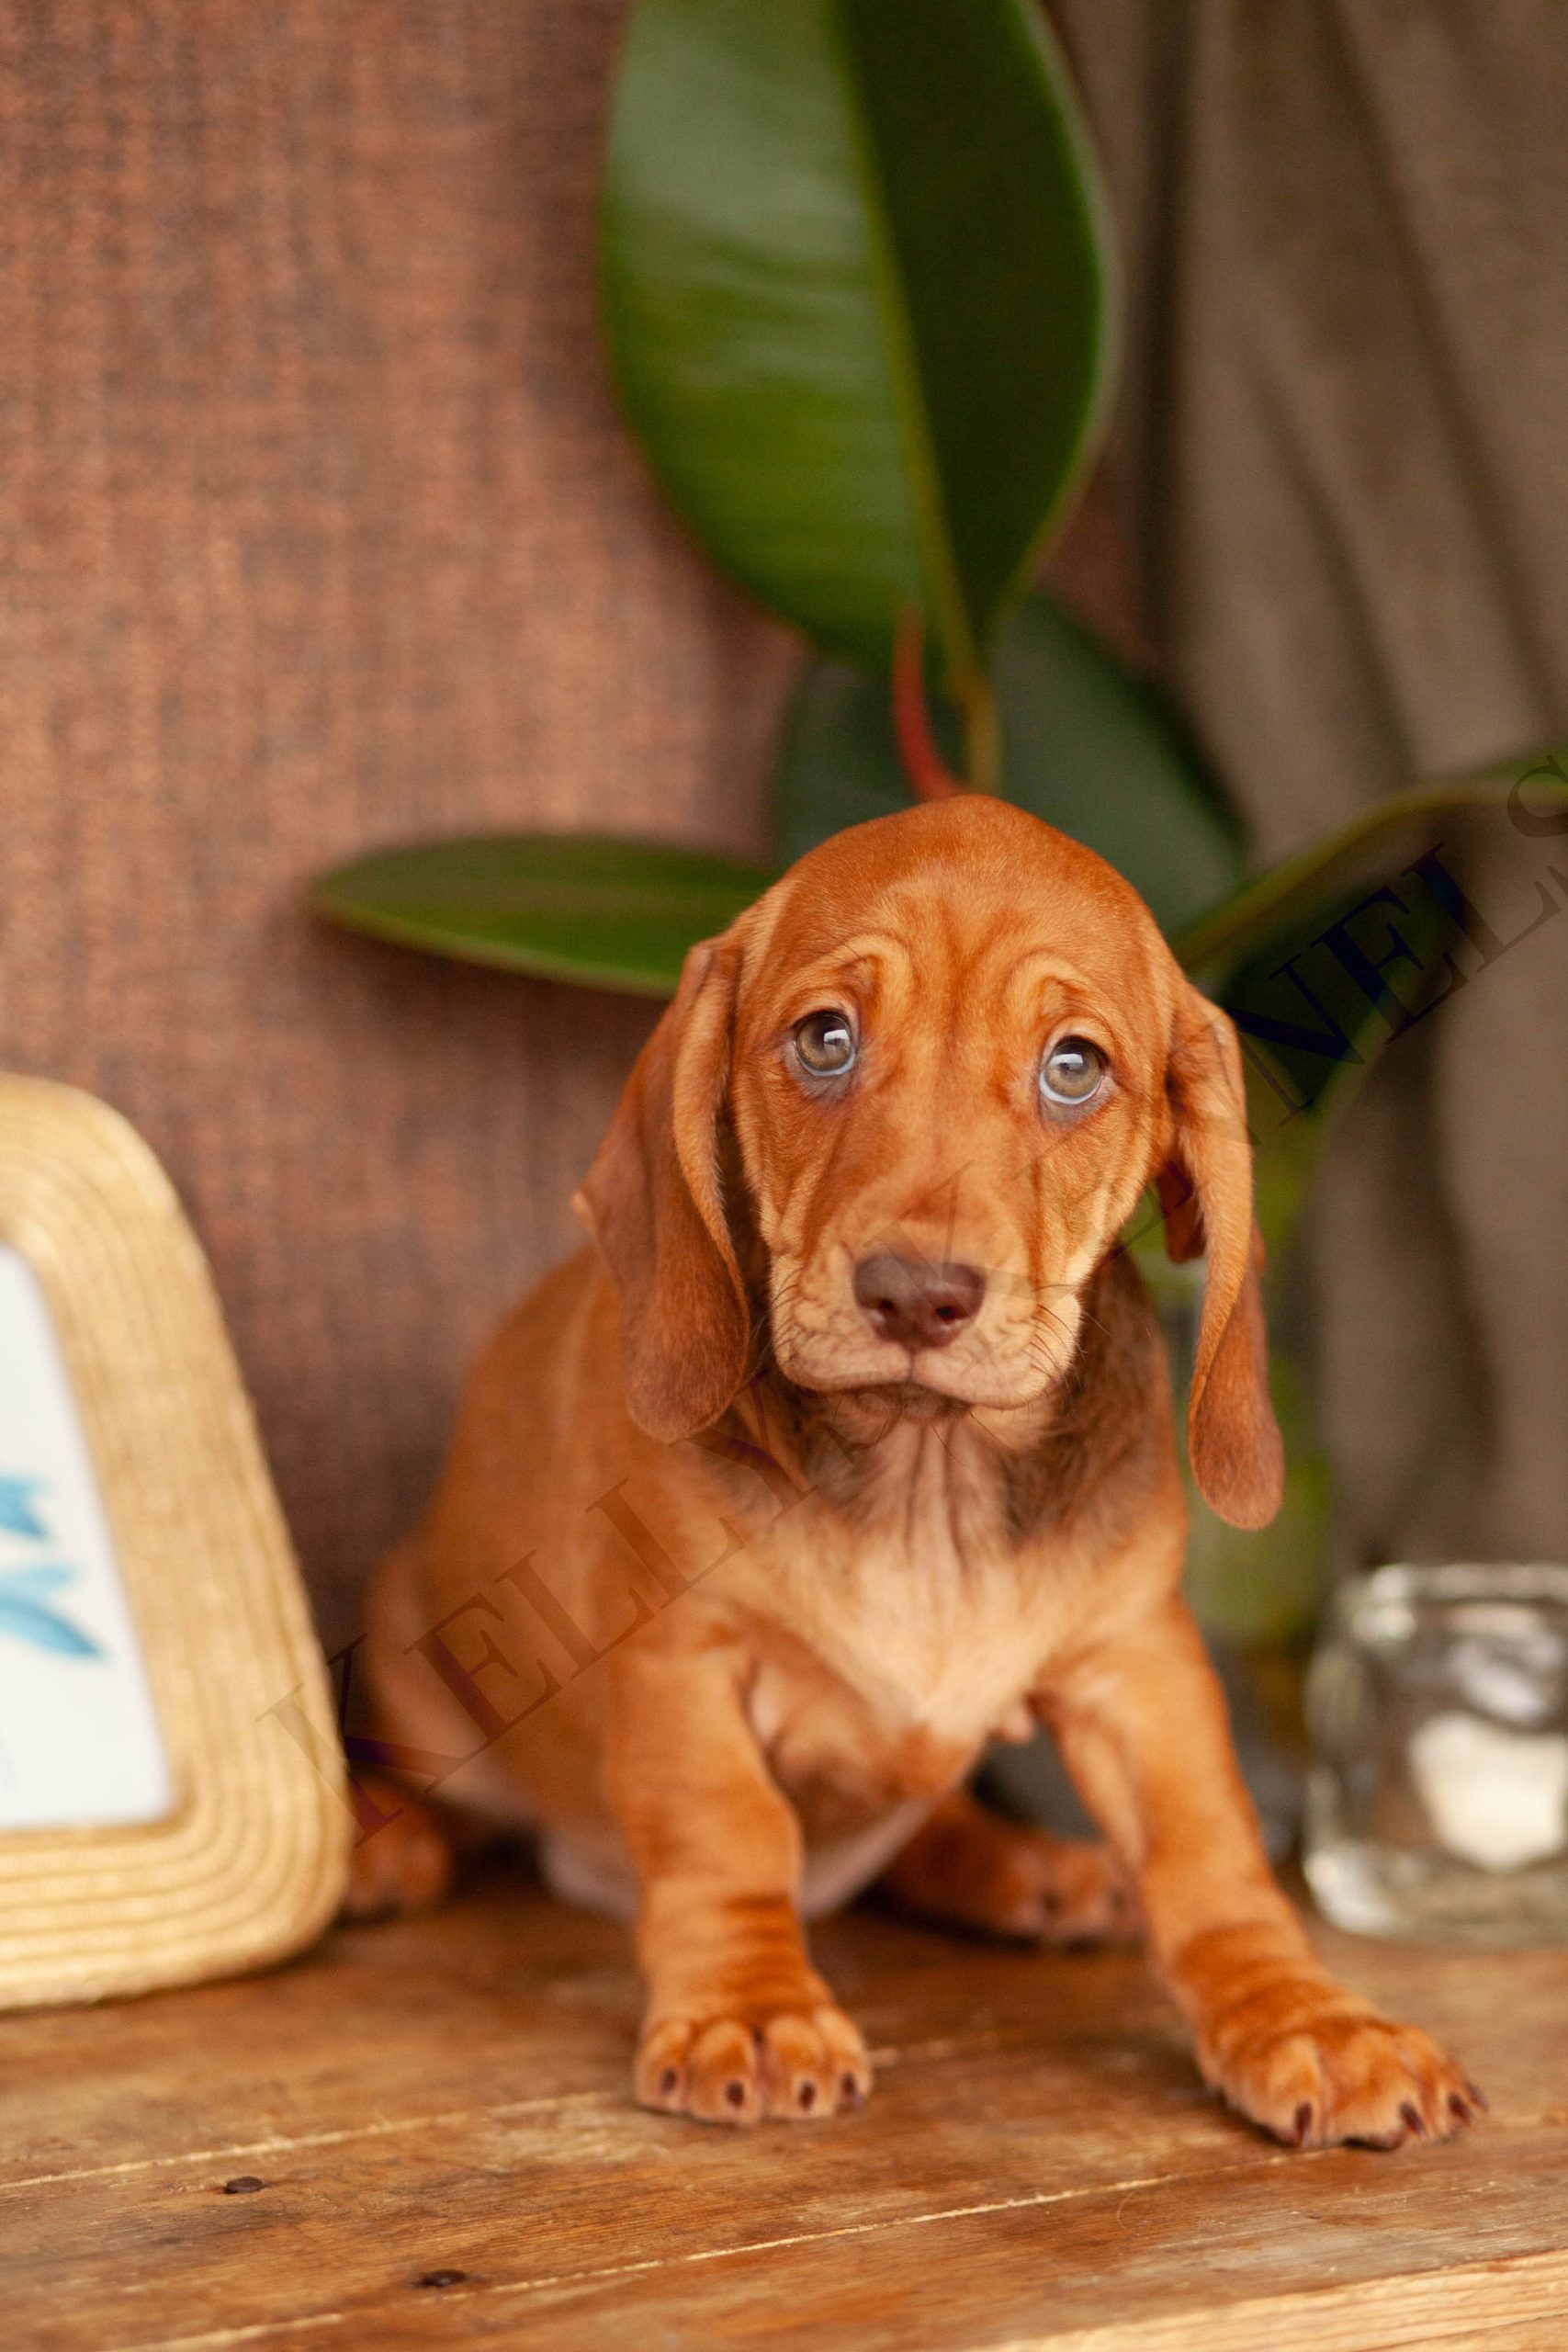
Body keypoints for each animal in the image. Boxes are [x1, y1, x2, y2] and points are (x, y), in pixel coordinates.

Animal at [348, 796, 1481, 2145]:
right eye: (824, 1040)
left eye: (1073, 1066)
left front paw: (1306, 2021)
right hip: (413, 1646)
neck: (925, 1478)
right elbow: (725, 1837)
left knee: (937, 1814)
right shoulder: (685, 1660)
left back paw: (1021, 1867)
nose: (915, 1294)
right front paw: (750, 2009)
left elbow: (1212, 1856)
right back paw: (377, 1843)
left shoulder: (1137, 1663)